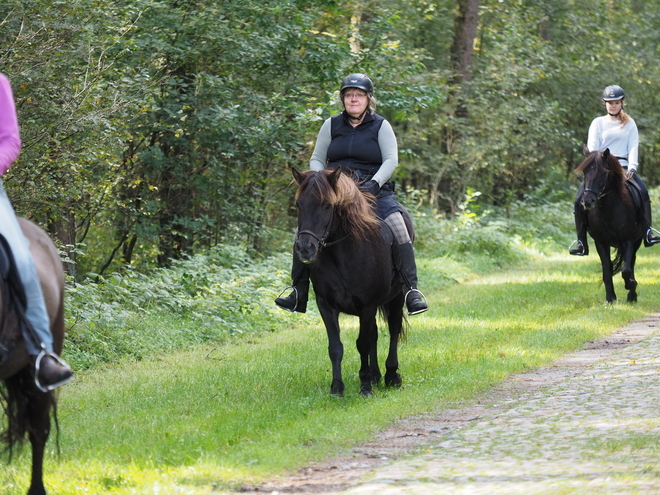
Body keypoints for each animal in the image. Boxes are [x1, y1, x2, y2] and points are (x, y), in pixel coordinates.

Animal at [292, 169, 408, 398]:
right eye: (299, 204)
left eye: (327, 205)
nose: (305, 248)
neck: (343, 254)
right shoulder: (326, 306)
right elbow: (335, 346)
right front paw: (337, 388)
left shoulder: (367, 306)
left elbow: (362, 344)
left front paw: (365, 387)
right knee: (374, 335)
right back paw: (376, 375)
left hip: (397, 298)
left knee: (393, 330)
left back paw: (391, 376)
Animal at [576, 148, 644, 302]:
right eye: (585, 172)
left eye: (603, 173)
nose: (587, 202)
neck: (609, 209)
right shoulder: (601, 242)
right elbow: (607, 271)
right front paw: (610, 298)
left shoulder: (628, 240)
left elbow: (626, 270)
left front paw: (631, 284)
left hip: (637, 241)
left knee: (631, 263)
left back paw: (632, 295)